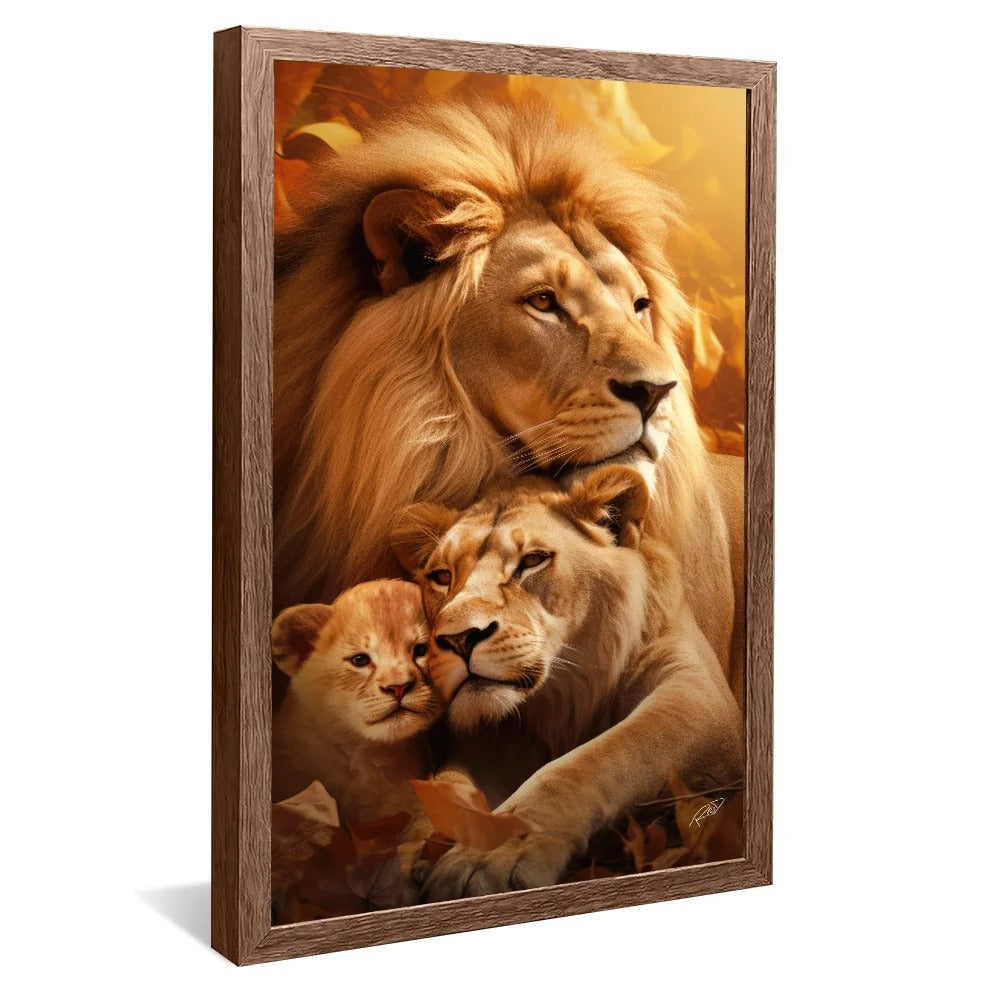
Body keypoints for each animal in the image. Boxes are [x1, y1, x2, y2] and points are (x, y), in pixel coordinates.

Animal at [389, 465, 742, 897]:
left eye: (533, 560)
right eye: (441, 575)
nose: (457, 639)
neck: (566, 694)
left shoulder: (698, 696)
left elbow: (597, 759)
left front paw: (489, 856)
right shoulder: (494, 743)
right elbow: (445, 785)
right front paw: (411, 856)